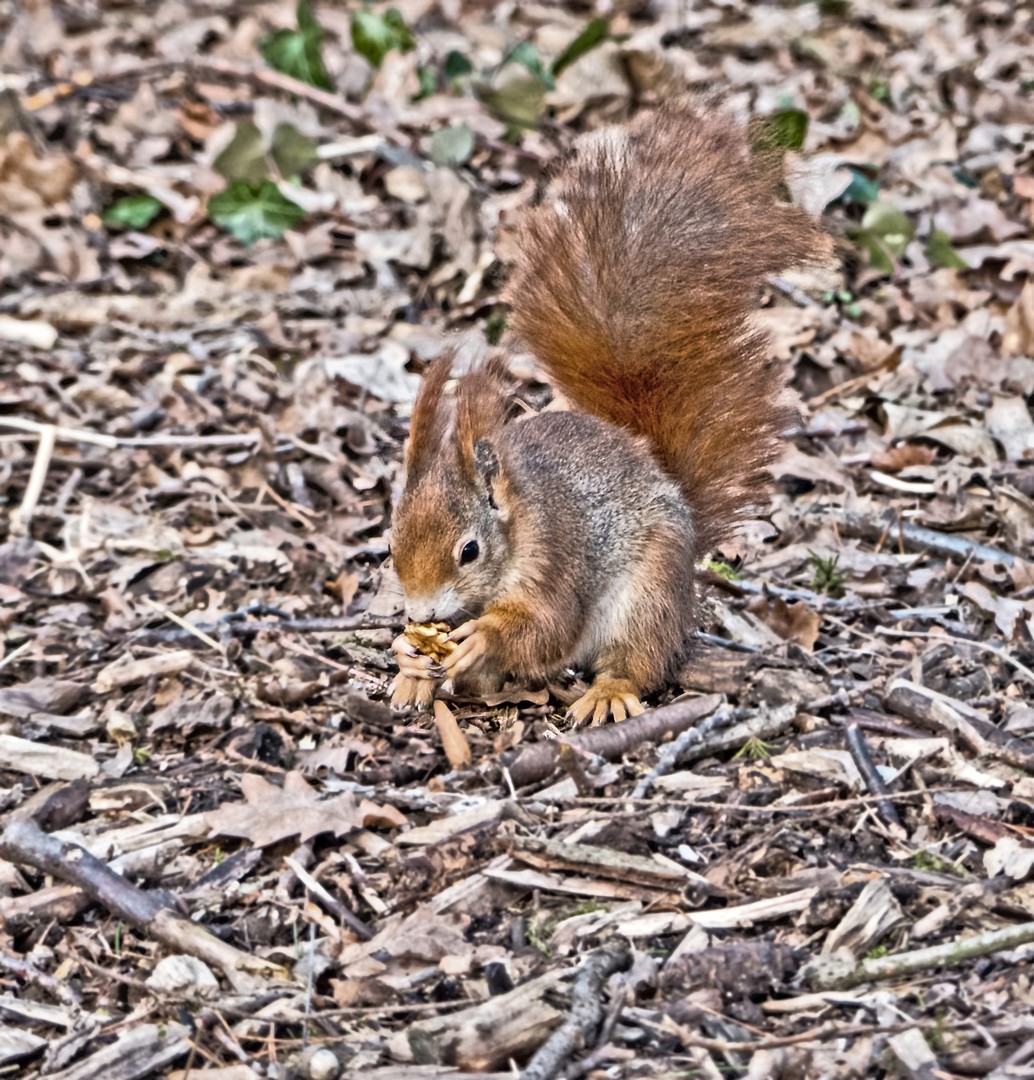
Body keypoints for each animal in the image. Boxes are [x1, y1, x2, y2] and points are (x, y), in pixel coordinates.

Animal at [382, 103, 825, 725]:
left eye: (469, 551)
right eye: (390, 543)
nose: (421, 613)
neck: (518, 521)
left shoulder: (556, 559)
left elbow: (547, 625)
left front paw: (483, 637)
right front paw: (408, 653)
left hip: (646, 595)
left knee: (636, 659)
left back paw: (609, 690)